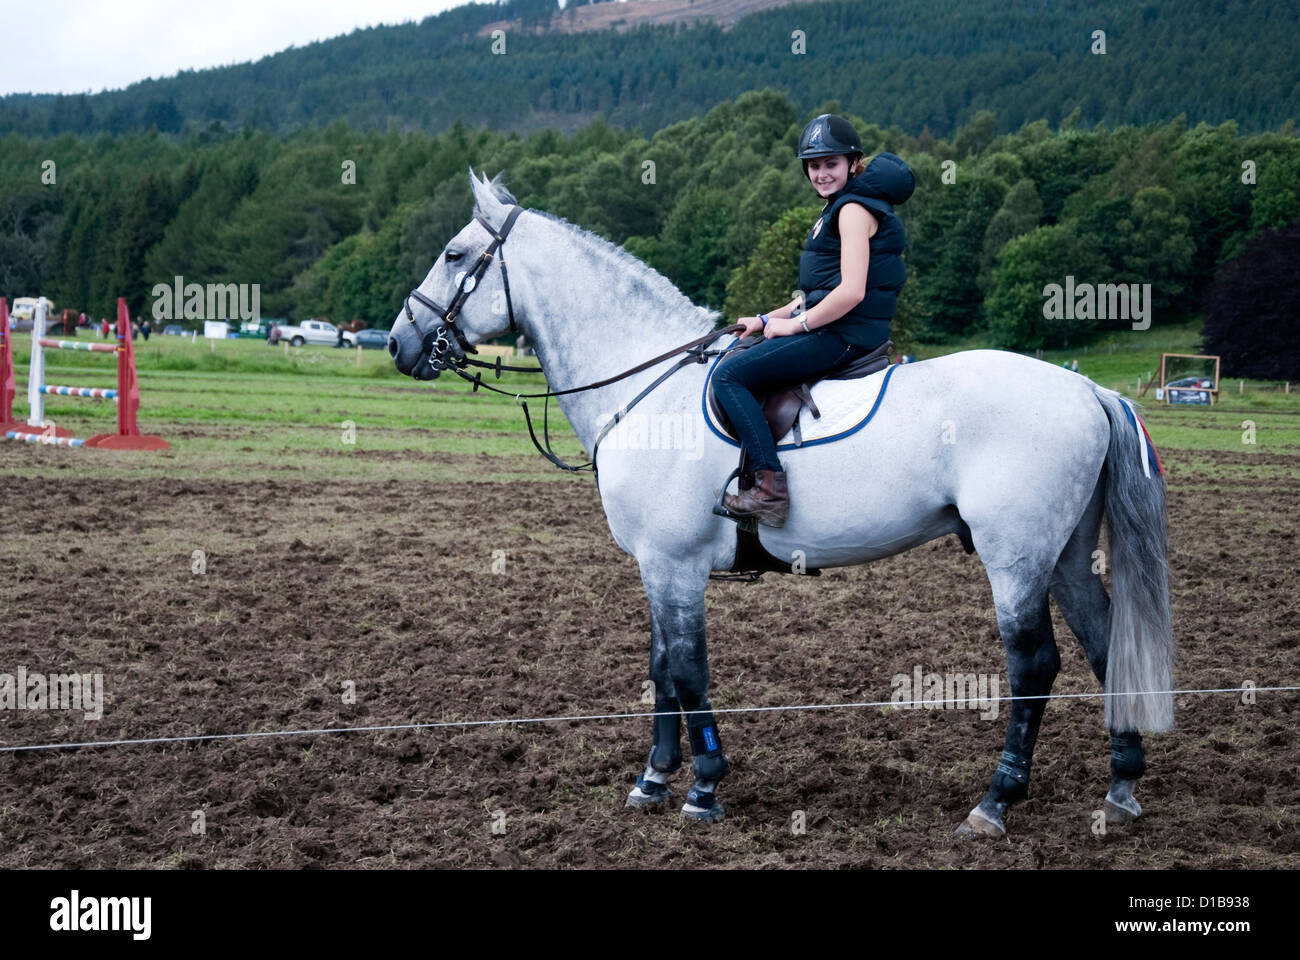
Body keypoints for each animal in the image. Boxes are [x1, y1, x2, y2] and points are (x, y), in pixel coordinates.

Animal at [387, 167, 1180, 832]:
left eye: (455, 255)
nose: (400, 342)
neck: (648, 387)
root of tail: (1086, 388)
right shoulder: (655, 566)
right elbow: (660, 666)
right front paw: (653, 780)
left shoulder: (676, 564)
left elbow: (687, 669)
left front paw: (704, 787)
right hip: (1065, 553)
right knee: (1105, 641)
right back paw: (1121, 784)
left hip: (1015, 555)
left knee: (1033, 663)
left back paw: (996, 801)